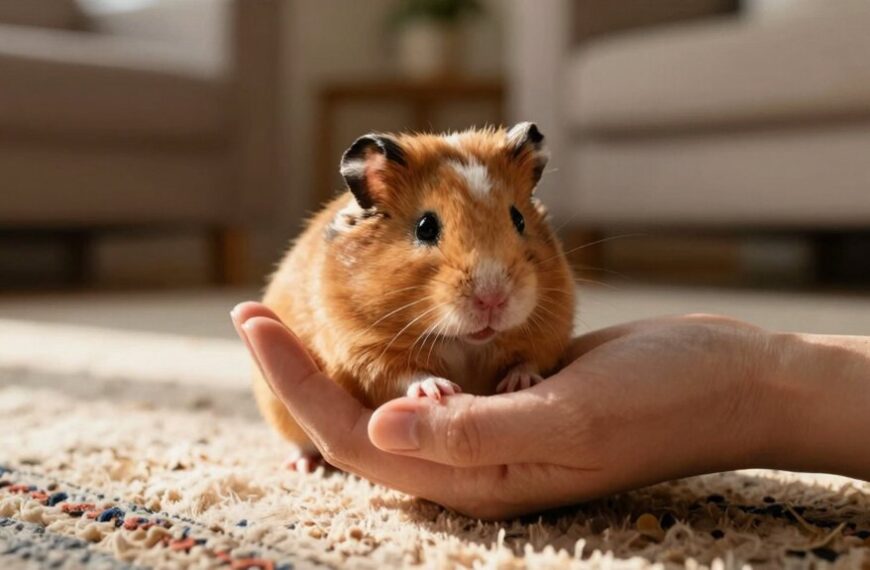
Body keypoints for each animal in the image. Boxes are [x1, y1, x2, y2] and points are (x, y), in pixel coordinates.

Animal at [253, 123, 575, 468]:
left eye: (519, 219)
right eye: (425, 227)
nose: (492, 299)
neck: (462, 341)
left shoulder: (550, 332)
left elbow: (530, 360)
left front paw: (519, 383)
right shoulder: (363, 350)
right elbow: (405, 374)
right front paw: (440, 390)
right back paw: (304, 465)